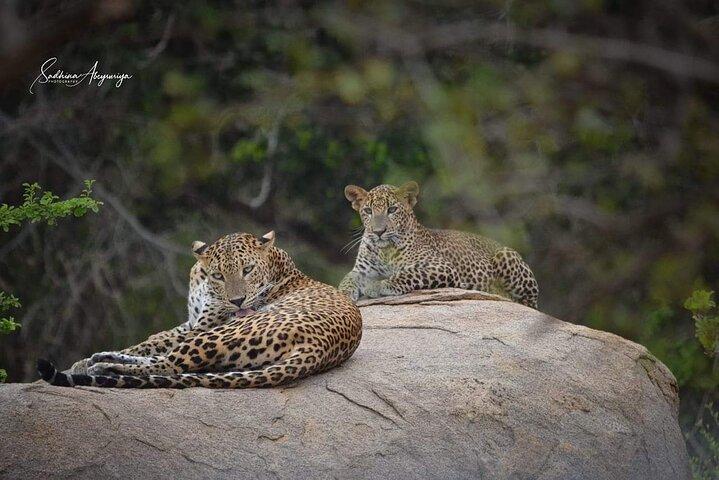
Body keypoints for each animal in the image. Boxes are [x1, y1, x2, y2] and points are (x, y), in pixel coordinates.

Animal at [38, 230, 363, 388]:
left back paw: (105, 366)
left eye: (247, 270)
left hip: (226, 332)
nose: (238, 302)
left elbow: (159, 346)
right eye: (219, 275)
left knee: (169, 366)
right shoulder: (192, 322)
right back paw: (100, 359)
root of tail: (319, 349)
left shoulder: (206, 325)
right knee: (168, 361)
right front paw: (85, 359)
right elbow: (153, 340)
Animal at [339, 181, 539, 308]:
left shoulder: (441, 267)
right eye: (368, 211)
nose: (378, 231)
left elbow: (407, 274)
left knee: (529, 303)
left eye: (392, 210)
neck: (385, 251)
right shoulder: (361, 271)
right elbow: (348, 278)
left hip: (506, 257)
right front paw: (343, 293)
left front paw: (379, 286)